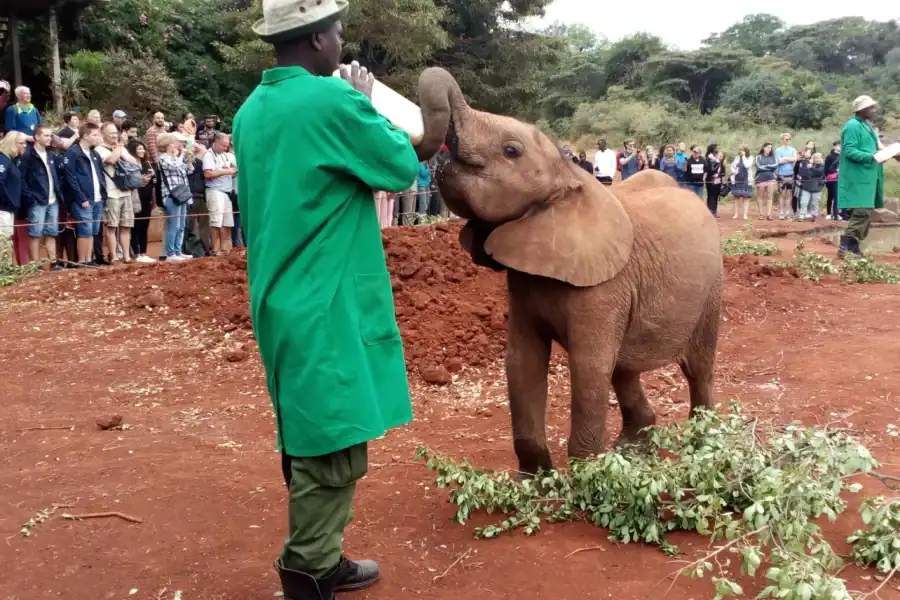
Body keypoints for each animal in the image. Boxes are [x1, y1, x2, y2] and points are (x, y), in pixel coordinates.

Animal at [414, 67, 724, 476]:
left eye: (511, 151)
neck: (569, 176)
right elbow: (522, 361)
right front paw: (534, 478)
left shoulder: (606, 288)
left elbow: (588, 367)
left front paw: (584, 478)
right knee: (624, 368)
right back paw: (633, 449)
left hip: (712, 289)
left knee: (697, 368)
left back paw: (703, 446)